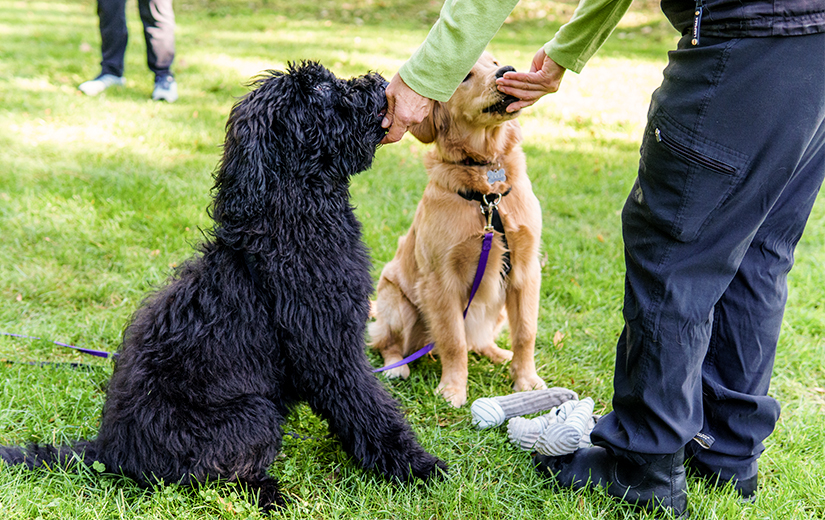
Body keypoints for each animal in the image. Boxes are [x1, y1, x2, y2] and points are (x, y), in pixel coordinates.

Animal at [0, 62, 444, 512]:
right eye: (319, 89)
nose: (379, 82)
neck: (291, 216)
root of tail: (108, 451)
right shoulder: (328, 350)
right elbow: (368, 408)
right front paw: (417, 466)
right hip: (252, 413)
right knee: (214, 476)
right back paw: (270, 493)